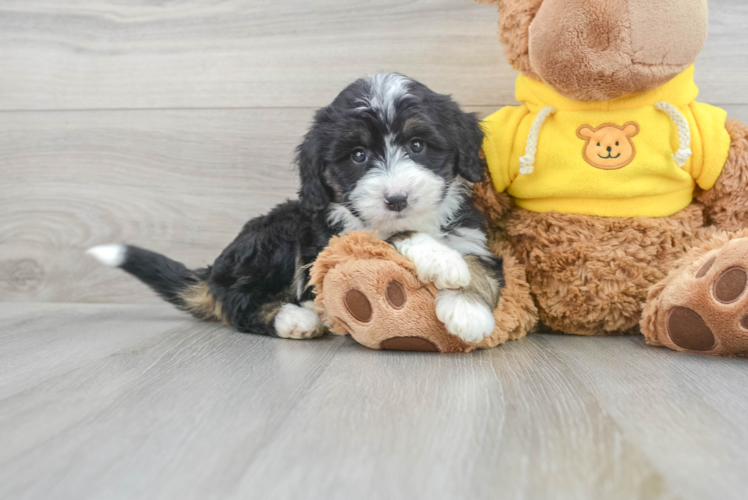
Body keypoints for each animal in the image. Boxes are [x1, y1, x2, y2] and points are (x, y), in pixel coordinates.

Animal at [90, 72, 506, 344]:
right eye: (358, 155)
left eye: (418, 145)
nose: (396, 199)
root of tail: (213, 273)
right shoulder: (337, 240)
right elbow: (387, 235)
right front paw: (442, 261)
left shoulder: (472, 236)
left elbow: (477, 267)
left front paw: (467, 307)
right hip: (278, 232)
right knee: (239, 304)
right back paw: (296, 319)